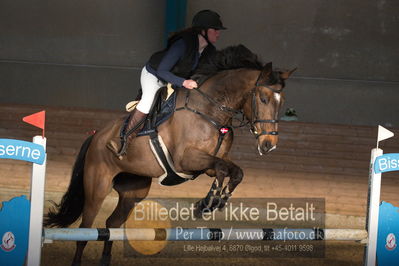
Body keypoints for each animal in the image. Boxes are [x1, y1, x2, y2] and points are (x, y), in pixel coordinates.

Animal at [44, 44, 296, 264]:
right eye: (263, 99)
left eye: (282, 102)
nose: (269, 144)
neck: (211, 111)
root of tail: (96, 136)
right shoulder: (186, 160)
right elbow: (223, 169)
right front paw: (206, 203)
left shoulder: (207, 164)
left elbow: (234, 171)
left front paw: (218, 201)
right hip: (98, 186)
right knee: (85, 229)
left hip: (133, 191)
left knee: (112, 224)